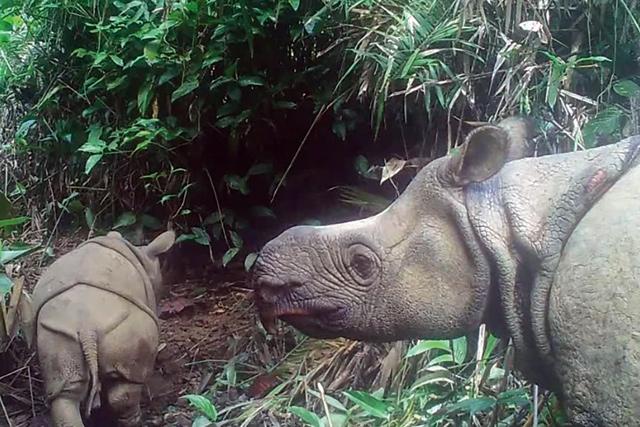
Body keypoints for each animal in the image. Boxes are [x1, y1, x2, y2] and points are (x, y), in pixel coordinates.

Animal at [30, 231, 175, 427]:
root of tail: (86, 329)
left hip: (56, 334)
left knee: (66, 393)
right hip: (125, 329)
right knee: (126, 384)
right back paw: (136, 420)